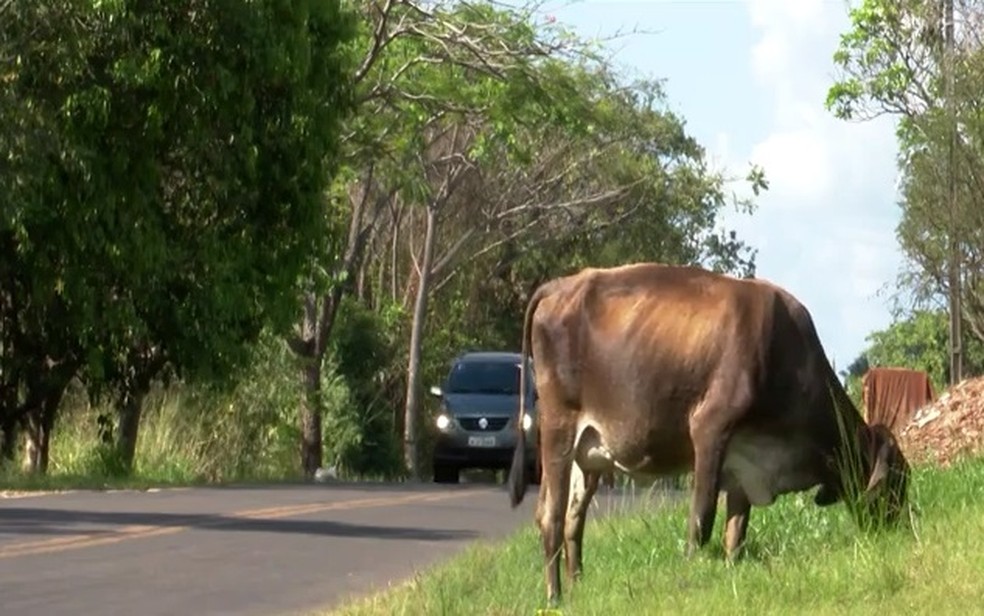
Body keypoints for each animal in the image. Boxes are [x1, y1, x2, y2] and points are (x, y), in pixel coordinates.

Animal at [512, 262, 912, 604]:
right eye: (897, 483)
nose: (901, 530)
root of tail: (560, 285)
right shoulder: (710, 429)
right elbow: (701, 519)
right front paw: (690, 574)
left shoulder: (746, 462)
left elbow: (736, 532)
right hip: (559, 429)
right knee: (551, 516)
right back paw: (555, 597)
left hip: (590, 454)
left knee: (573, 519)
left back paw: (577, 587)